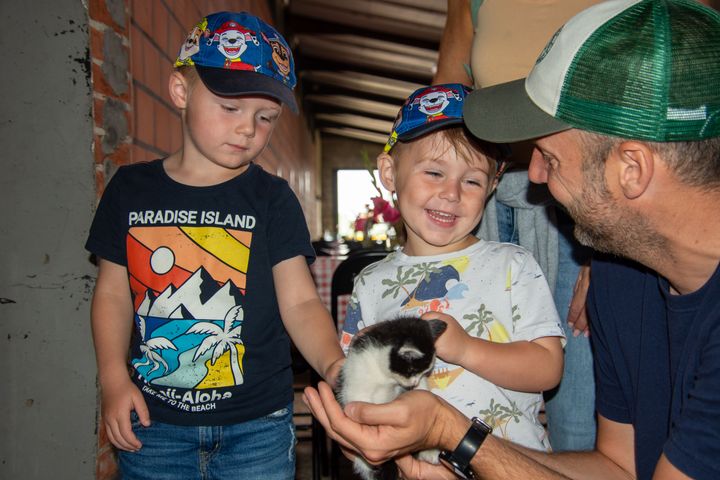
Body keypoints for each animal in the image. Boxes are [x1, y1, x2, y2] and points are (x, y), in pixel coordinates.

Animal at [336, 316, 448, 480]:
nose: (414, 383)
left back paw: (430, 452)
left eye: (424, 372)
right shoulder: (356, 380)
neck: (386, 377)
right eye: (411, 370)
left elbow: (422, 389)